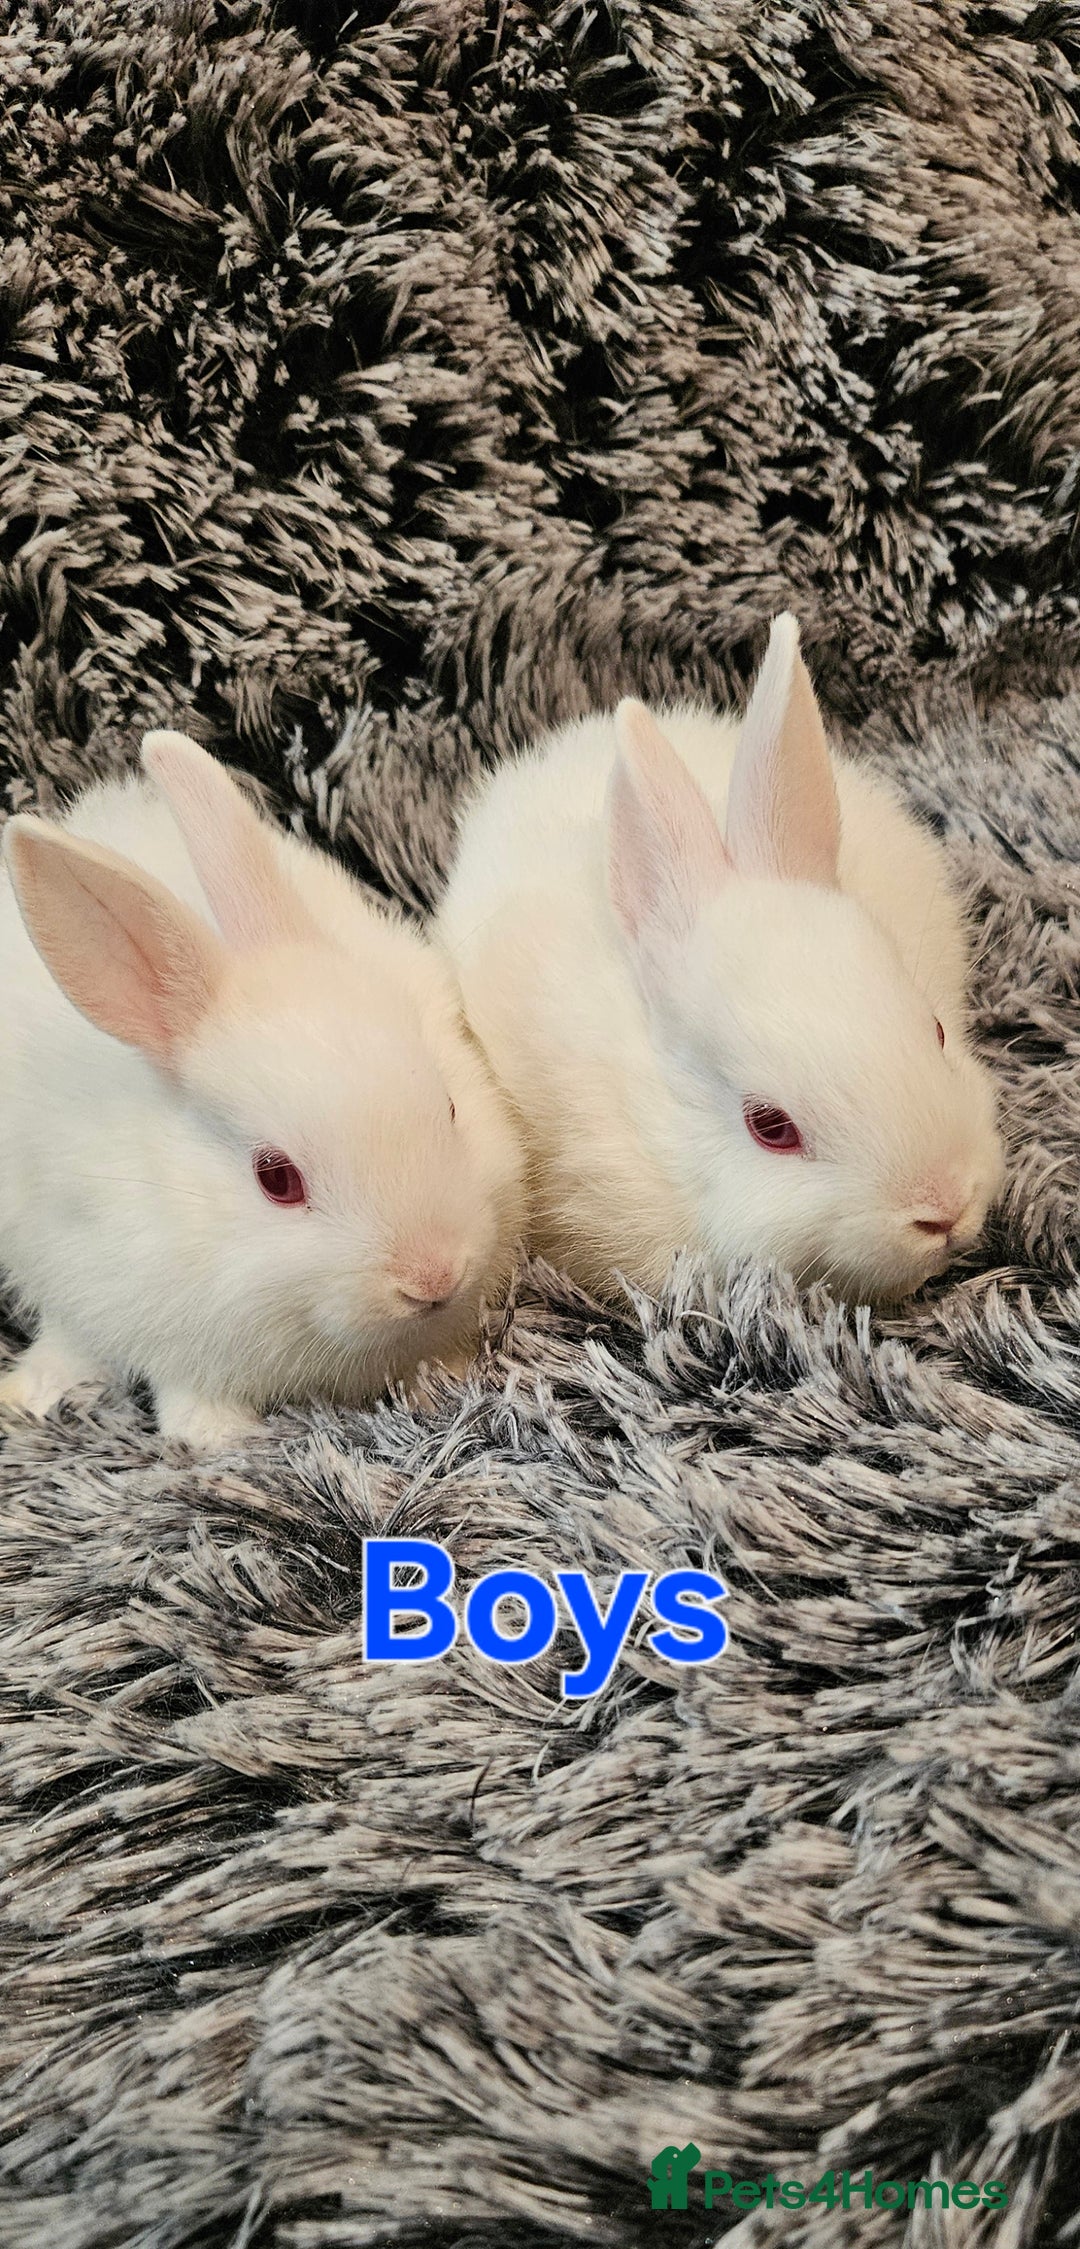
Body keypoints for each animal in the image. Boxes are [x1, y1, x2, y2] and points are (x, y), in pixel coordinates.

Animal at [0, 730, 525, 1453]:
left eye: (449, 1108)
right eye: (276, 1179)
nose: (433, 1277)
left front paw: (441, 1386)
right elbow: (187, 1391)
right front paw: (222, 1438)